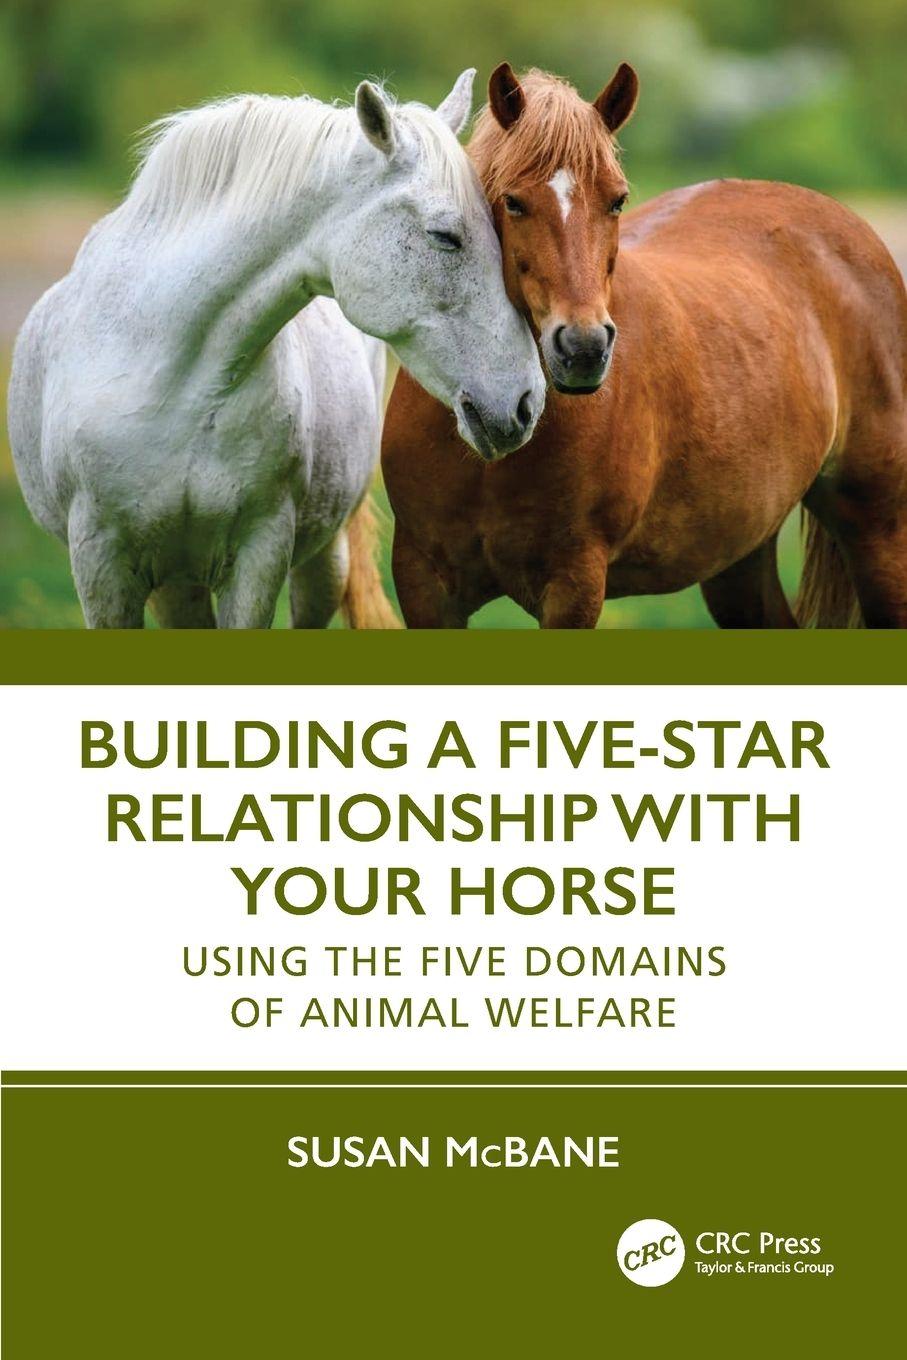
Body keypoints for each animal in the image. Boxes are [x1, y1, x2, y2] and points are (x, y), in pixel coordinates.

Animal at [7, 72, 545, 628]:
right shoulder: (102, 568)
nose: (527, 402)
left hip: (320, 562)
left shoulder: (259, 554)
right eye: (446, 236)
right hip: (176, 583)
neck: (167, 374)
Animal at [382, 64, 907, 628]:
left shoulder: (573, 584)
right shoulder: (423, 583)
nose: (583, 348)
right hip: (739, 556)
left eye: (617, 200)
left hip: (879, 534)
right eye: (514, 202)